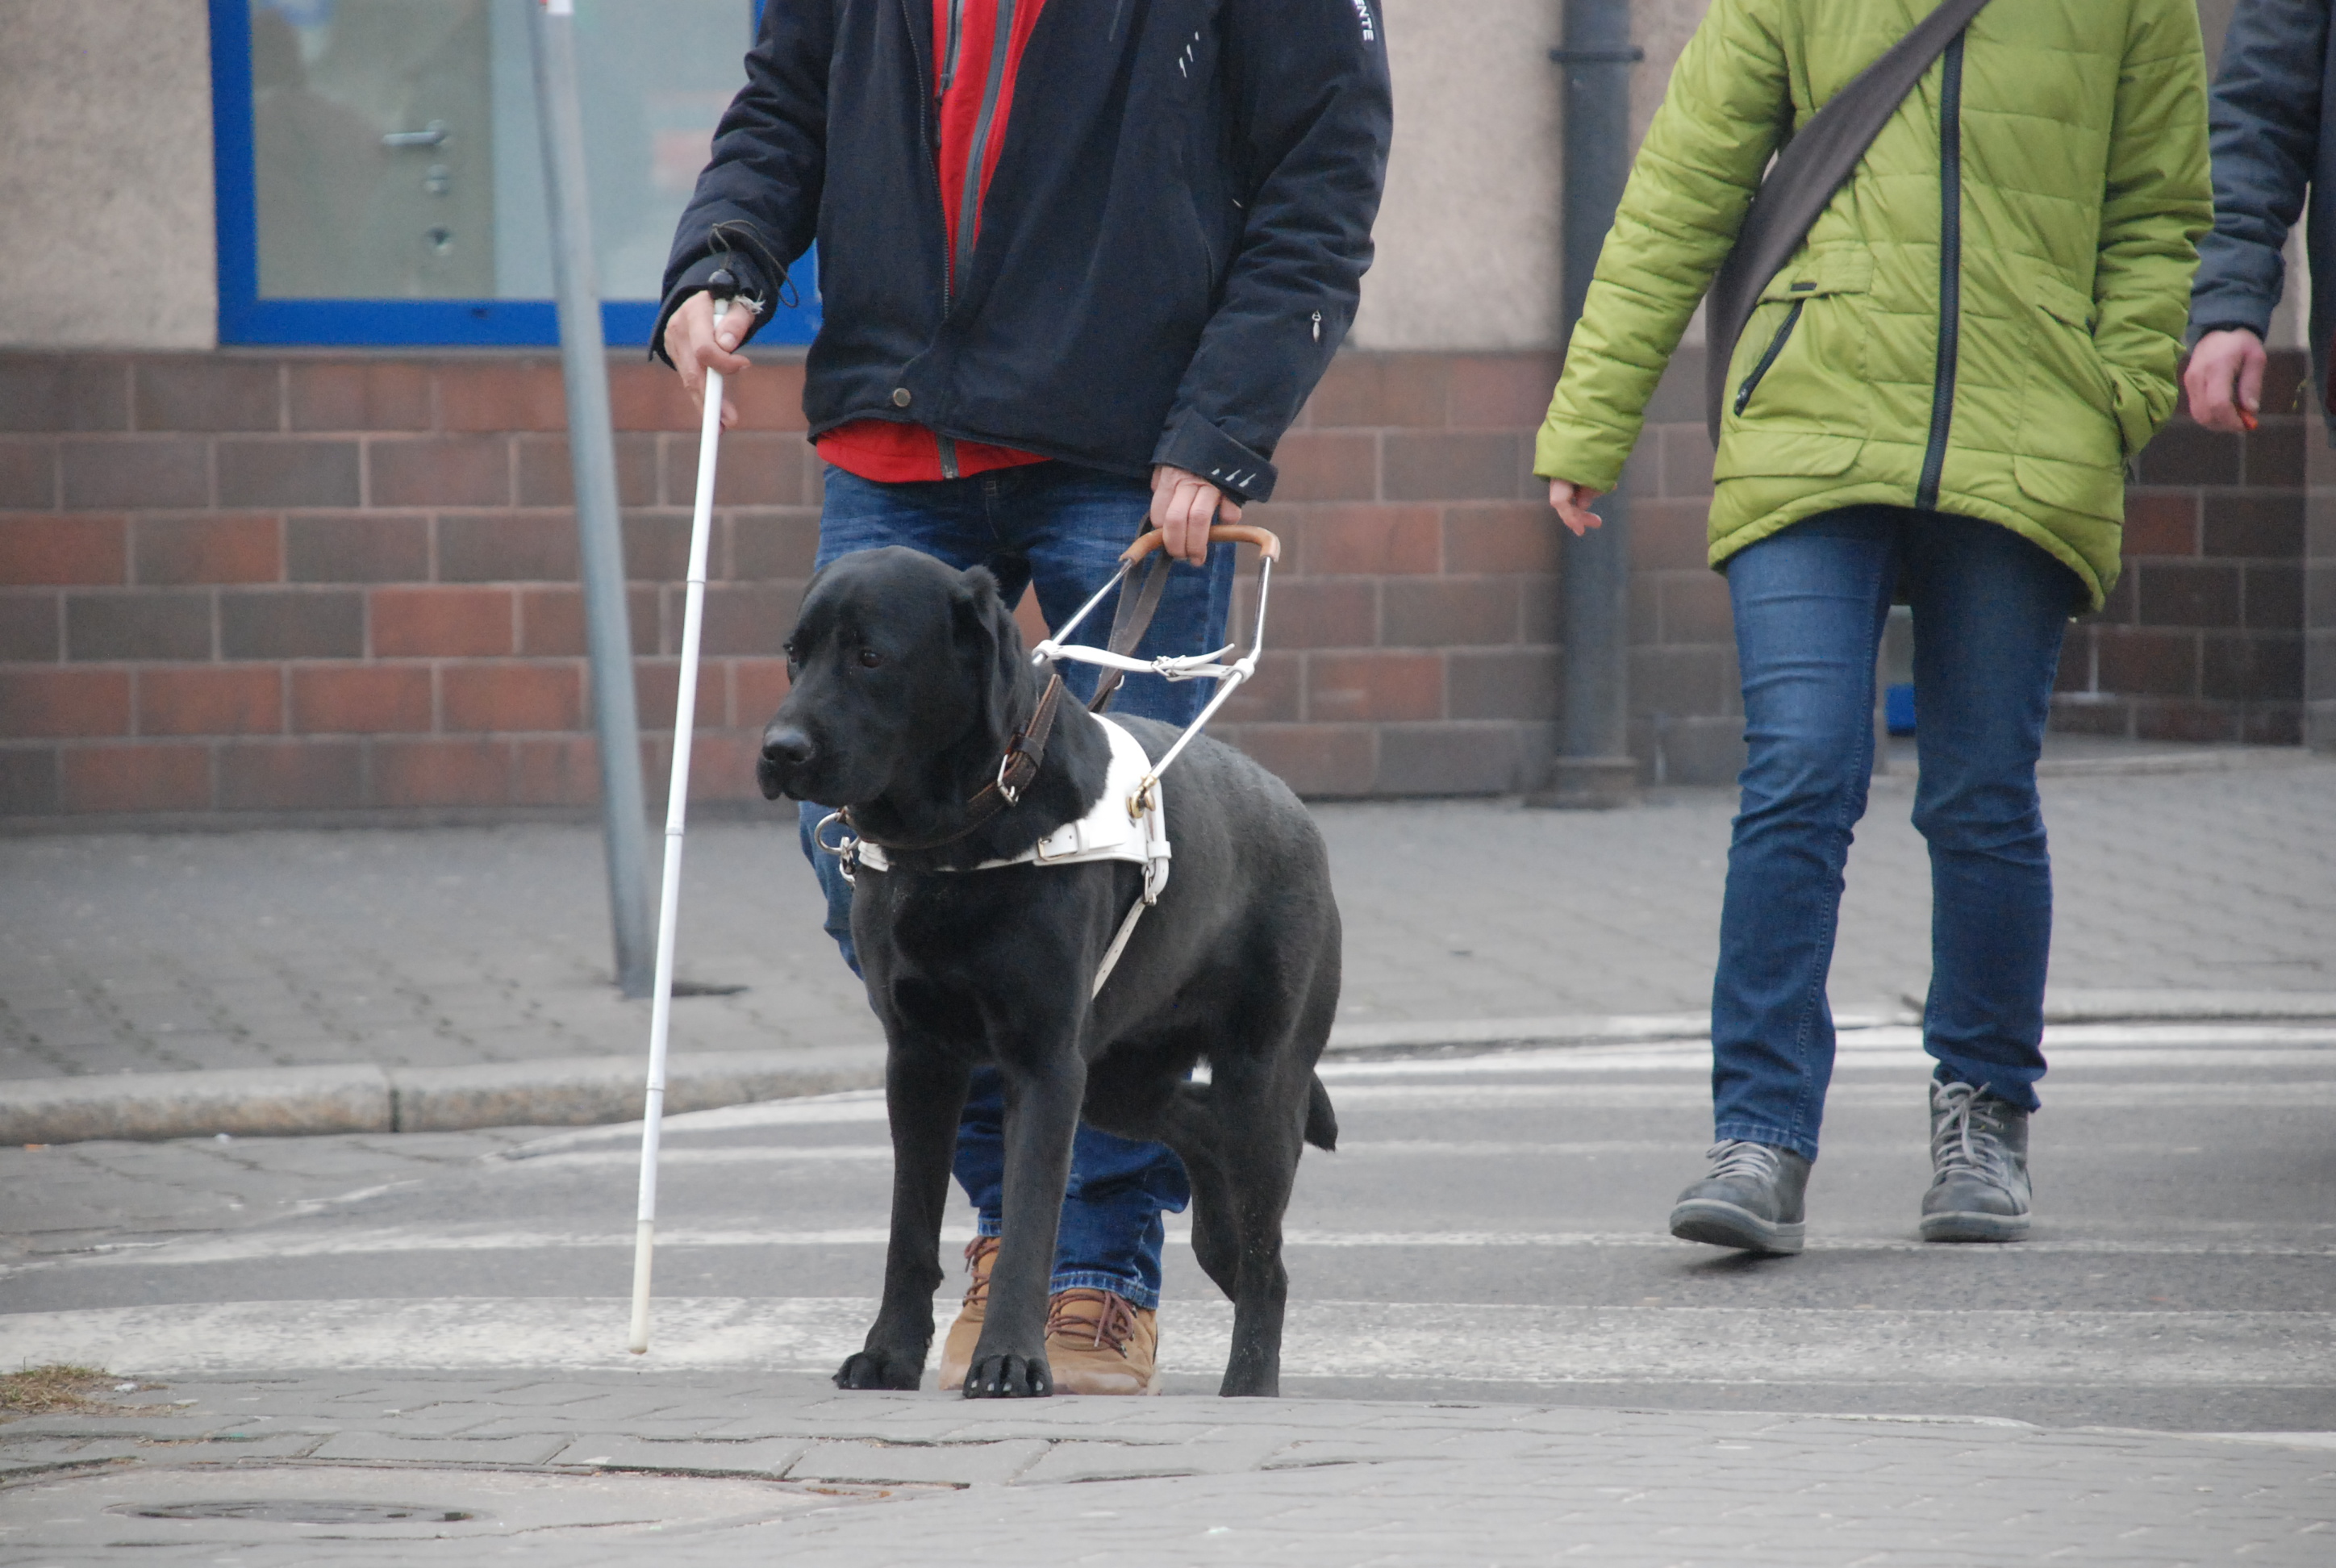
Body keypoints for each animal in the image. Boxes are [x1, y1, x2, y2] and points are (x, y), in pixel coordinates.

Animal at [757, 546, 1341, 1398]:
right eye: (795, 655)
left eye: (870, 657)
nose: (779, 750)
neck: (953, 842)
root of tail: (1297, 813)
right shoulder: (918, 1060)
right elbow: (909, 1229)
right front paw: (890, 1355)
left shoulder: (1043, 1062)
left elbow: (1032, 1219)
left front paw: (1008, 1360)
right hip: (1116, 1075)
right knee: (1196, 1129)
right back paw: (1218, 1235)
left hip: (1257, 1080)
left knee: (1270, 1261)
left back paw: (1250, 1381)